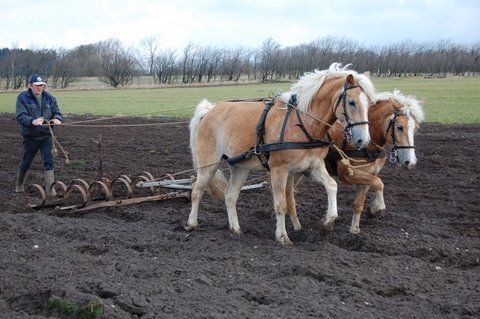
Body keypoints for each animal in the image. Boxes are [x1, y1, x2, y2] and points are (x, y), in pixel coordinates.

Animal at [186, 63, 376, 246]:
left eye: (370, 103)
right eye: (351, 102)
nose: (363, 140)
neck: (302, 123)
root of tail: (209, 111)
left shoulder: (312, 167)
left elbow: (331, 185)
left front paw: (327, 223)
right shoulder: (279, 170)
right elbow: (281, 204)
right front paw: (283, 236)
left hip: (240, 166)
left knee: (230, 196)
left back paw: (236, 229)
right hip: (209, 164)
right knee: (197, 190)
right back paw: (191, 224)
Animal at [288, 90, 424, 235]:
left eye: (416, 128)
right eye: (399, 127)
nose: (410, 161)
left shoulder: (369, 174)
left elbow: (360, 202)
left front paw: (355, 230)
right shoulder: (347, 175)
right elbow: (379, 183)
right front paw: (376, 208)